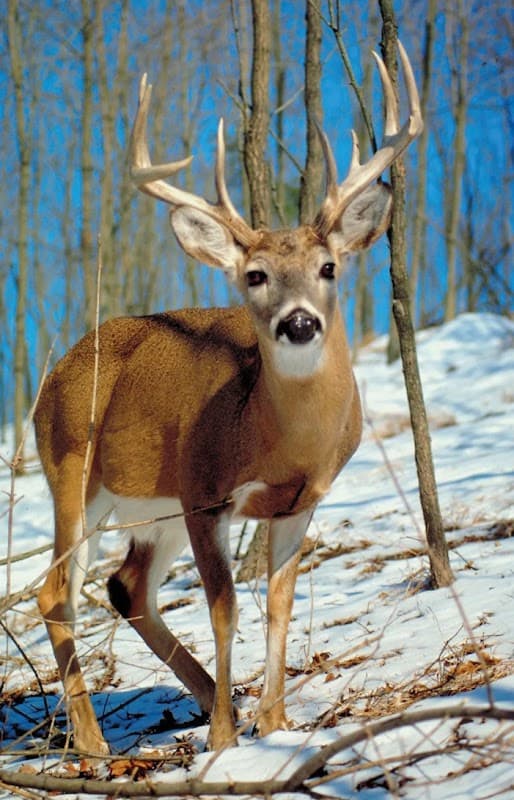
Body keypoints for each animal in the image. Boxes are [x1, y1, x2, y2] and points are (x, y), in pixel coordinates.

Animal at [35, 41, 422, 755]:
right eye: (256, 276)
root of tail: (56, 373)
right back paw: (96, 741)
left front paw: (273, 722)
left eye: (329, 267)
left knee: (126, 587)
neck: (276, 441)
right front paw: (222, 739)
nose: (299, 322)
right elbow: (225, 606)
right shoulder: (205, 493)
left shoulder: (302, 499)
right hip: (73, 471)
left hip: (152, 506)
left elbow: (278, 602)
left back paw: (215, 698)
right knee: (57, 591)